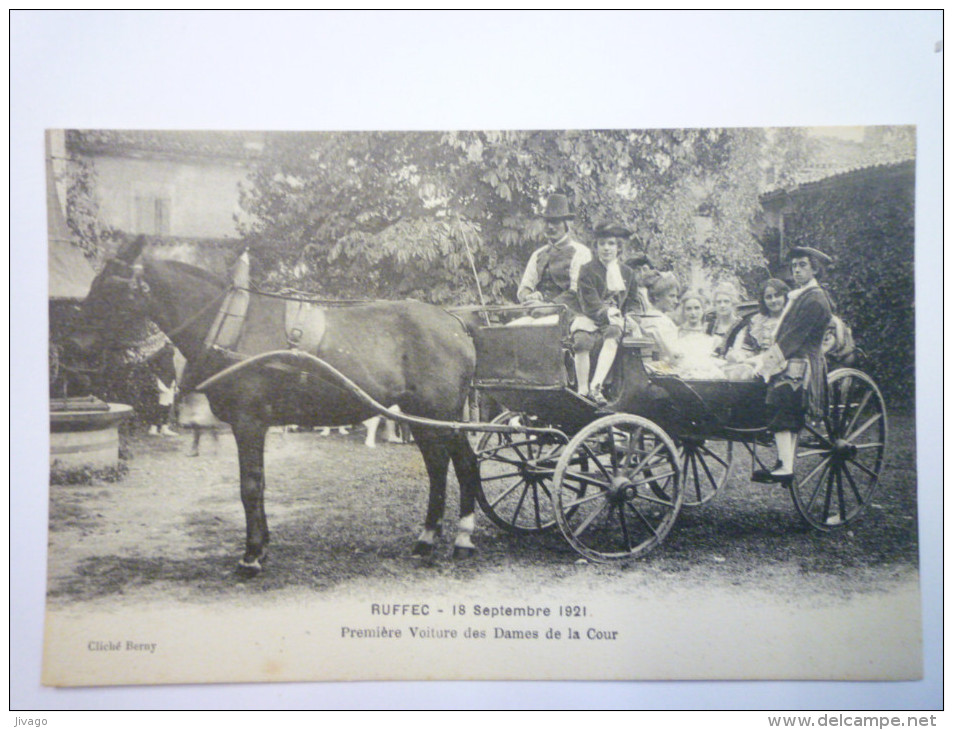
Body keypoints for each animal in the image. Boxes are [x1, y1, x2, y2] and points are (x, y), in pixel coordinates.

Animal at [72, 236, 484, 572]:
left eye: (109, 285)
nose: (76, 342)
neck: (229, 324)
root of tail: (455, 323)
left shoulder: (248, 422)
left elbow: (250, 485)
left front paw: (252, 554)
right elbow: (259, 483)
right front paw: (263, 544)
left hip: (440, 414)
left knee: (461, 464)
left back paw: (460, 537)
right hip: (423, 417)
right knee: (441, 467)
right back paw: (431, 539)